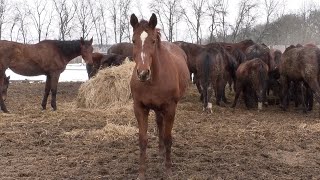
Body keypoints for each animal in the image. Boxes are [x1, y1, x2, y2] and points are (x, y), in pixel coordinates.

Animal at [130, 13, 190, 179]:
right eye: (133, 40)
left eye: (153, 41)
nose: (143, 73)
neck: (153, 80)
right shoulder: (140, 108)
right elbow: (143, 140)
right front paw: (141, 173)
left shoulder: (170, 108)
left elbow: (169, 138)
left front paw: (168, 171)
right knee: (159, 122)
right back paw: (160, 150)